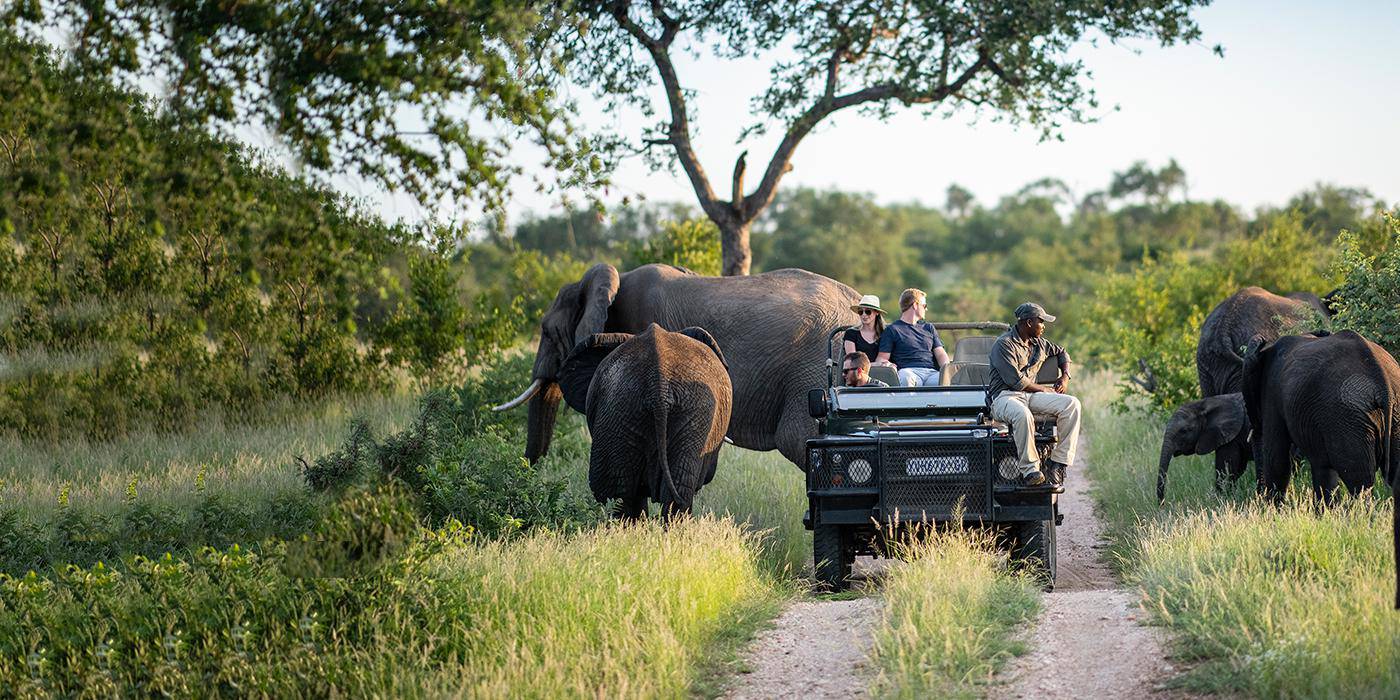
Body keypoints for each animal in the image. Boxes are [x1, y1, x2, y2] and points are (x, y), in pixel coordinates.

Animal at [1243, 327, 1394, 504]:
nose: (1258, 499)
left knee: (1359, 480)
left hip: (1347, 417)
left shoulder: (1272, 391)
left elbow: (1276, 457)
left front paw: (1272, 508)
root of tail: (1383, 383)